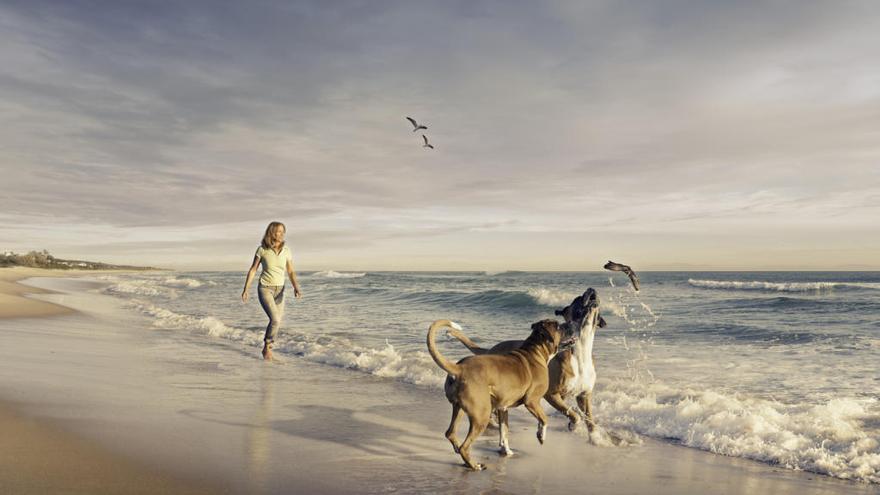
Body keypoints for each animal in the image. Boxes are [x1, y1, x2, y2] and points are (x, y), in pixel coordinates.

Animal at [424, 320, 576, 470]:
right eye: (558, 327)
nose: (570, 323)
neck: (535, 351)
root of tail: (459, 368)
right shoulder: (532, 401)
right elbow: (544, 419)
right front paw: (541, 436)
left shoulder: (503, 408)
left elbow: (504, 432)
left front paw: (506, 451)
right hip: (481, 416)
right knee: (464, 447)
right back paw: (474, 465)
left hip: (459, 409)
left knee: (450, 433)